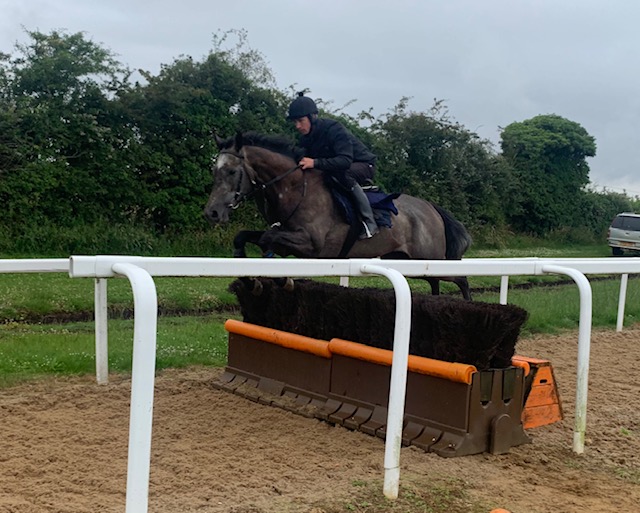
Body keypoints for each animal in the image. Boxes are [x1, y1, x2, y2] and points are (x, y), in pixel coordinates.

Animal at [202, 132, 472, 300]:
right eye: (214, 171)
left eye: (231, 171)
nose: (212, 213)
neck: (294, 188)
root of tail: (432, 208)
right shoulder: (286, 236)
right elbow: (242, 237)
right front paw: (251, 281)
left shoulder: (311, 246)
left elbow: (269, 239)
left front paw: (282, 280)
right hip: (407, 261)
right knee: (435, 282)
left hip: (430, 259)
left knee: (461, 279)